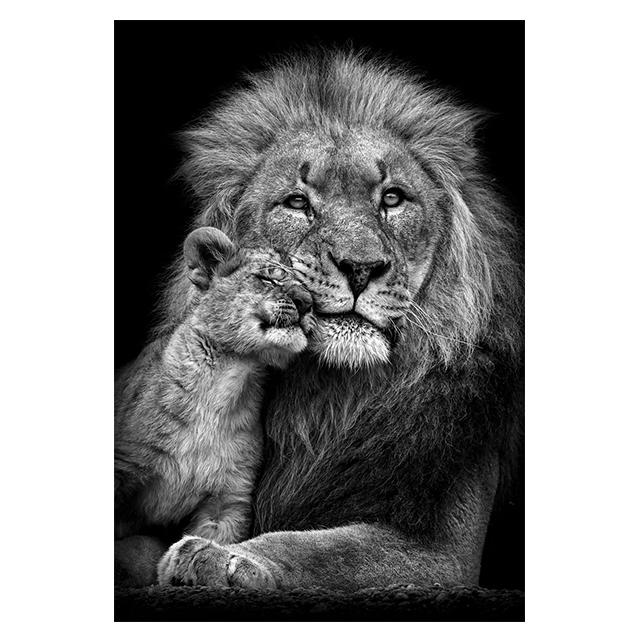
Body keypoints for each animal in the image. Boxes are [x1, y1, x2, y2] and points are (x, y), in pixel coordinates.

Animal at [118, 49, 522, 590]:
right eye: (296, 202)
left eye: (392, 198)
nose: (360, 267)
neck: (328, 399)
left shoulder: (445, 554)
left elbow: (321, 549)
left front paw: (221, 557)